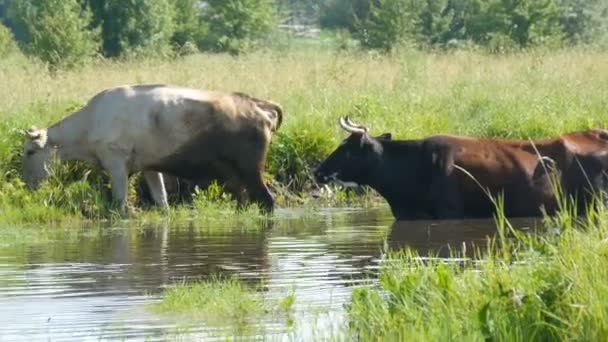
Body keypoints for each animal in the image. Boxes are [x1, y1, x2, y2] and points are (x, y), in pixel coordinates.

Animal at [20, 84, 282, 215]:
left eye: (30, 152)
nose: (26, 184)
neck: (90, 123)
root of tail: (259, 105)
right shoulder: (149, 167)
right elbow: (162, 202)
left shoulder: (116, 163)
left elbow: (121, 205)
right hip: (238, 178)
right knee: (245, 201)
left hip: (251, 170)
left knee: (268, 201)